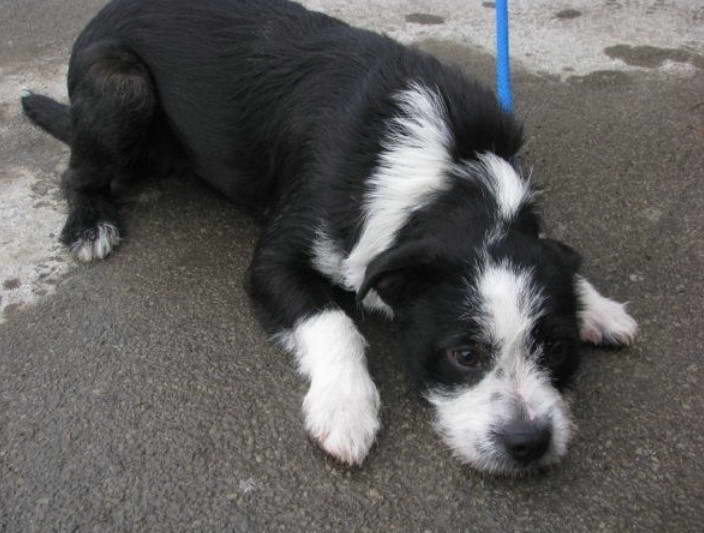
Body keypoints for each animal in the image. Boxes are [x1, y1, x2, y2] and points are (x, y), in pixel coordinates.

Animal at [22, 0, 640, 474]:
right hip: (121, 88)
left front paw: (595, 304)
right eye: (464, 354)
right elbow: (334, 320)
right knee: (77, 171)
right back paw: (90, 221)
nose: (529, 444)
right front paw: (347, 408)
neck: (450, 175)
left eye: (556, 348)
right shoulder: (276, 258)